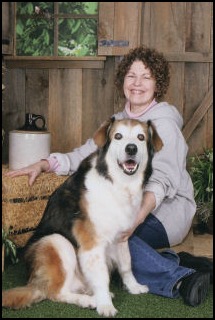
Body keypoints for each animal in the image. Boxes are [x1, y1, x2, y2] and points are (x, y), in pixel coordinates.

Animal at [2, 117, 163, 318]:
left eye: (141, 137)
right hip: (56, 241)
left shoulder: (122, 236)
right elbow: (102, 275)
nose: (131, 148)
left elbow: (126, 264)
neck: (116, 182)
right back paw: (89, 300)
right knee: (56, 292)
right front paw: (105, 305)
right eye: (118, 136)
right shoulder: (91, 242)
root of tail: (33, 282)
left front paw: (133, 287)